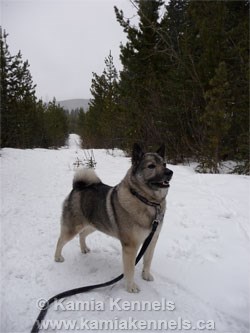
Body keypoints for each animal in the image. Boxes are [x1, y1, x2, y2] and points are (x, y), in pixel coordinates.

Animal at [54, 143, 173, 290]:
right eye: (151, 166)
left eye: (164, 164)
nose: (170, 172)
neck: (148, 201)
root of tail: (78, 187)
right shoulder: (131, 246)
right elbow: (130, 269)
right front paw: (131, 287)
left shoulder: (152, 240)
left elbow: (147, 260)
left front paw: (145, 275)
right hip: (73, 228)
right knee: (61, 240)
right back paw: (57, 257)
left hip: (93, 225)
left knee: (82, 235)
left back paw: (84, 248)